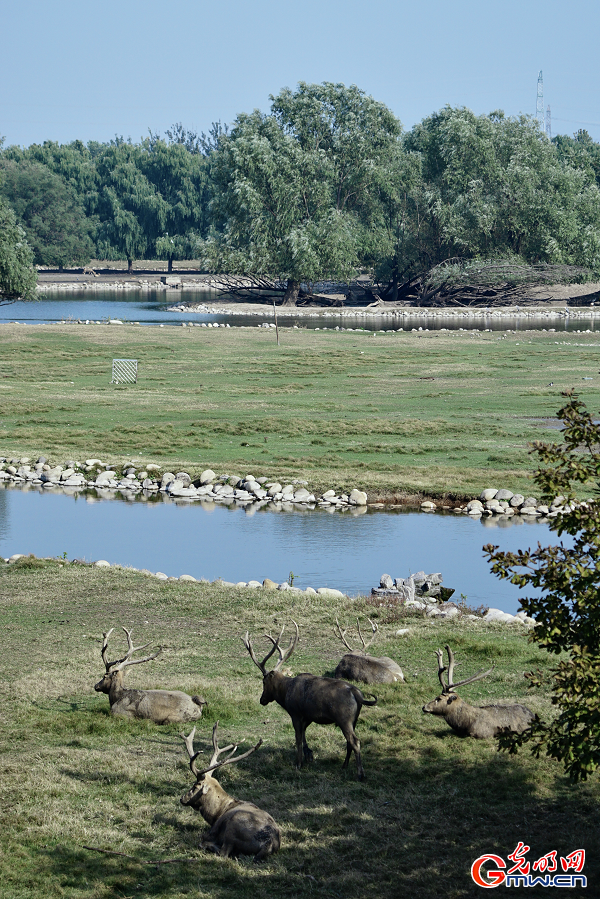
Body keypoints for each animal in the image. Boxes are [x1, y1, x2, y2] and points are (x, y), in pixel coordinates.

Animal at [179, 720, 280, 860]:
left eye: (196, 785)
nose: (182, 798)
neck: (217, 813)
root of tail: (268, 844)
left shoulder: (213, 829)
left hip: (233, 828)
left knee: (223, 852)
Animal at [243, 624, 376, 780]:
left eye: (263, 682)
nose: (262, 700)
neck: (285, 694)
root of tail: (357, 694)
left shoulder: (295, 713)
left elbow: (298, 738)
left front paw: (298, 763)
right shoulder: (308, 716)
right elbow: (304, 734)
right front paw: (309, 755)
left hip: (344, 718)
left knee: (355, 741)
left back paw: (360, 773)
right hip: (354, 719)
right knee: (349, 742)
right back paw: (344, 766)